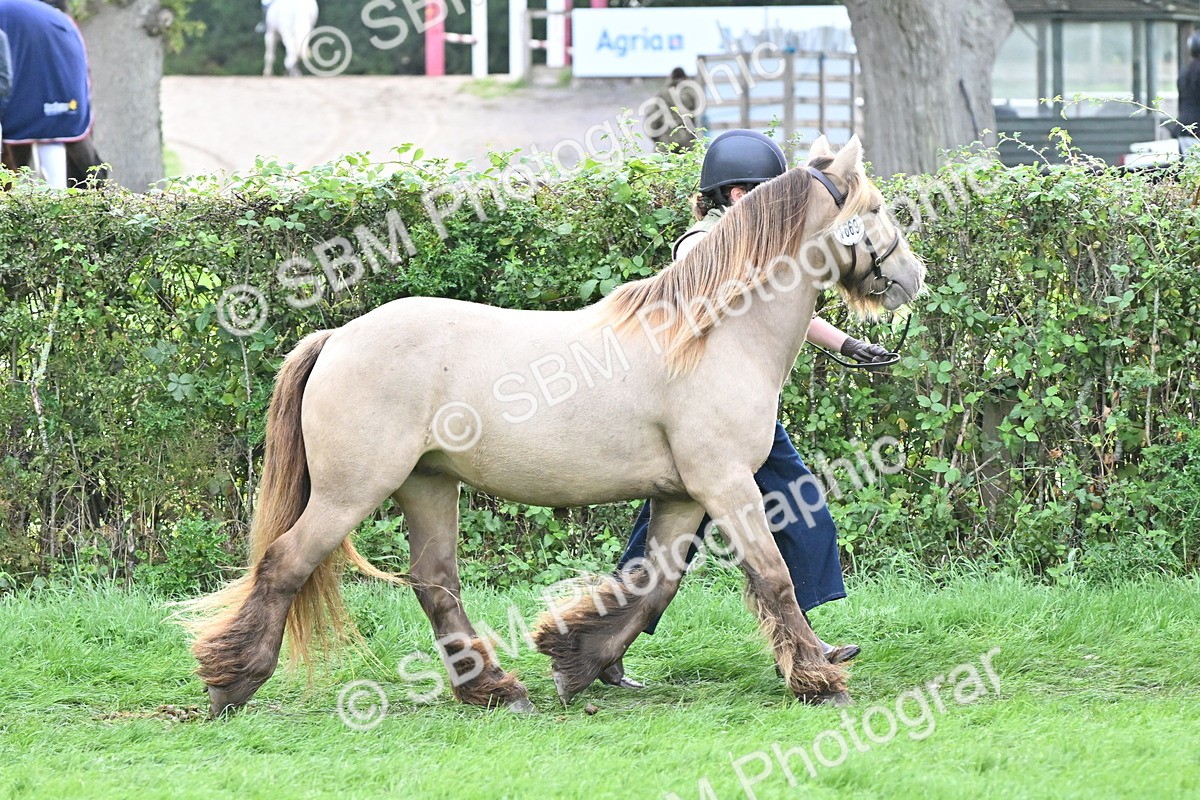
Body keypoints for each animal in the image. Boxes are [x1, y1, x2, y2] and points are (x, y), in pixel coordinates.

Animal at [184, 135, 927, 717]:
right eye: (876, 209)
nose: (914, 277)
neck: (711, 336)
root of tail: (337, 337)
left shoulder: (683, 496)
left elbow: (652, 584)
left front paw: (576, 660)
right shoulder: (726, 484)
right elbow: (773, 576)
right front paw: (820, 679)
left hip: (427, 485)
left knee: (435, 583)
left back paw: (492, 689)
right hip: (352, 490)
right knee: (285, 562)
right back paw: (231, 684)